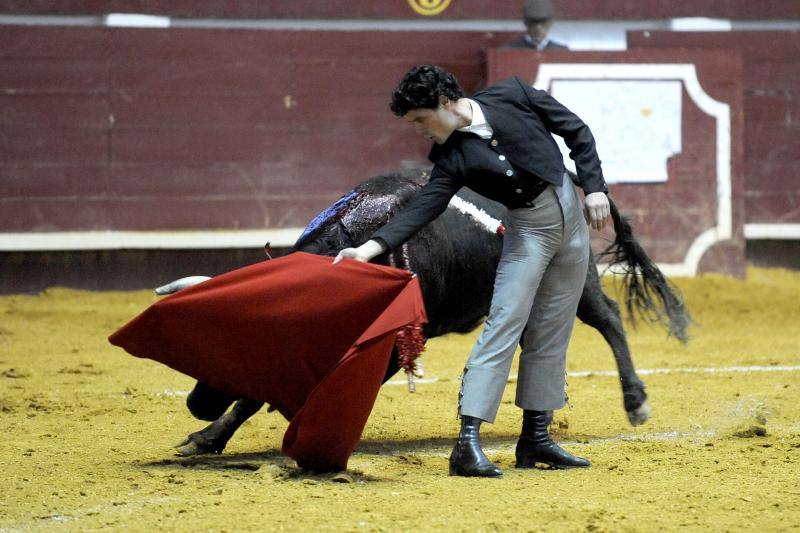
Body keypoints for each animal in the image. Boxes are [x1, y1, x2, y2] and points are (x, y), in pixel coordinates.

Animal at [173, 168, 688, 456]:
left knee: (609, 319)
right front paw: (206, 439)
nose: (195, 403)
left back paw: (636, 401)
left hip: (577, 279)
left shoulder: (389, 348)